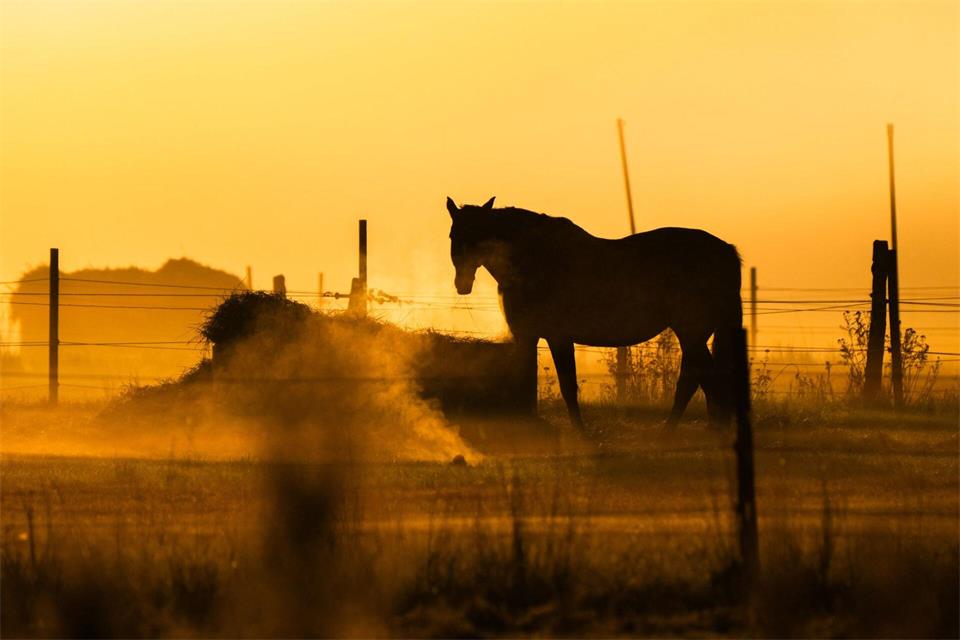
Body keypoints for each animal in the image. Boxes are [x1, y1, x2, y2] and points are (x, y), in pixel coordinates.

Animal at [446, 196, 742, 428]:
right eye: (453, 235)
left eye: (477, 234)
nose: (462, 284)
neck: (534, 259)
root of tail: (725, 250)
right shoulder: (527, 336)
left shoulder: (557, 337)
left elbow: (567, 386)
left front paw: (581, 432)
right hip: (693, 333)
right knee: (697, 379)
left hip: (691, 331)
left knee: (699, 379)